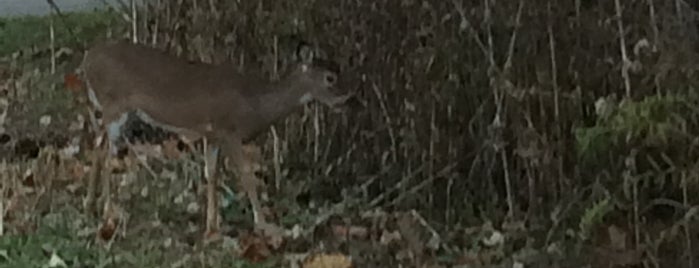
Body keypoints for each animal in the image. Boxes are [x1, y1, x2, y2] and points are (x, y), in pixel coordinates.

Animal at [78, 39, 350, 239]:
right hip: (115, 106)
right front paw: (265, 226)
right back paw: (108, 213)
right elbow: (246, 176)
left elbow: (211, 174)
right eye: (330, 78)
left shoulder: (213, 135)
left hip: (110, 110)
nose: (347, 98)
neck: (254, 104)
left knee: (97, 146)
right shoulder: (229, 130)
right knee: (106, 153)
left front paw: (212, 227)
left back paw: (90, 206)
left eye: (338, 70)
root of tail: (87, 61)